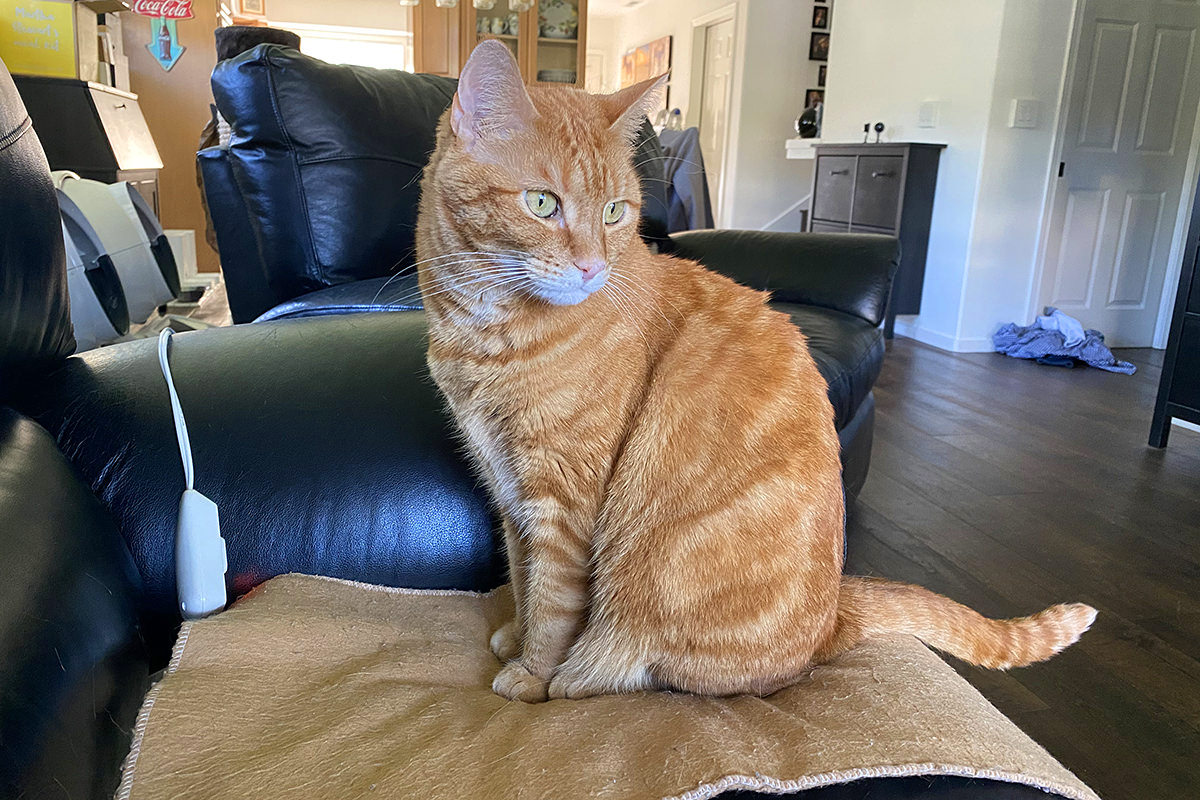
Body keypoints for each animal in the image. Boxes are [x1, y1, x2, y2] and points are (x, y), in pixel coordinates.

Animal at [415, 40, 1099, 700]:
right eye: (541, 203)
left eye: (614, 212)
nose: (591, 268)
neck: (483, 334)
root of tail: (833, 619)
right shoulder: (509, 488)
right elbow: (521, 575)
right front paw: (515, 634)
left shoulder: (562, 497)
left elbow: (554, 601)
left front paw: (532, 672)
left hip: (646, 597)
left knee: (622, 668)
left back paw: (576, 675)